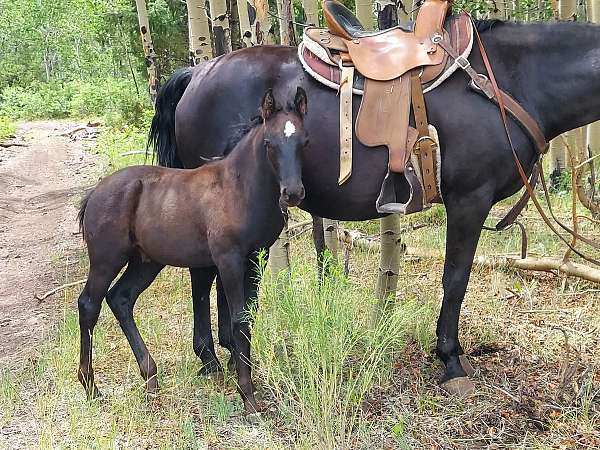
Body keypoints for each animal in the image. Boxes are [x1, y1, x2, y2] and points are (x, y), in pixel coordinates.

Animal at [76, 88, 310, 414]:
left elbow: (248, 317)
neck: (239, 188)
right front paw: (248, 398)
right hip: (106, 260)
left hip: (146, 262)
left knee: (121, 298)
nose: (293, 193)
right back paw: (90, 386)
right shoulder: (229, 260)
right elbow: (238, 321)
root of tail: (94, 194)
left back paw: (150, 378)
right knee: (89, 305)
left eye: (304, 142)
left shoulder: (255, 258)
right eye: (269, 143)